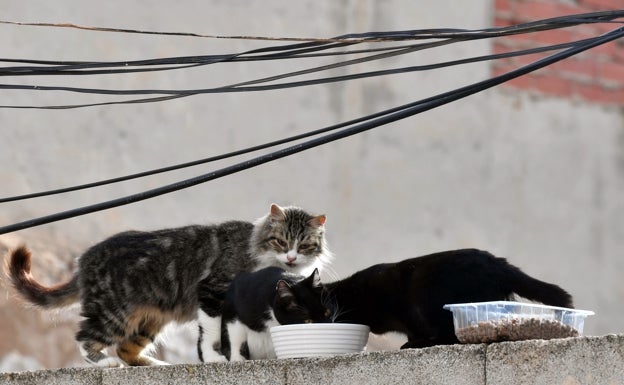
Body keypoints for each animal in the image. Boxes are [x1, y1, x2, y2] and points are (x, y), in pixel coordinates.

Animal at [6, 202, 332, 364]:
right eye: (281, 241)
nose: (291, 257)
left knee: (127, 350)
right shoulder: (211, 293)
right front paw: (215, 359)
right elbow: (212, 336)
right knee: (86, 338)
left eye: (303, 245)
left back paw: (157, 365)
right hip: (114, 314)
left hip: (150, 321)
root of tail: (84, 260)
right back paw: (102, 361)